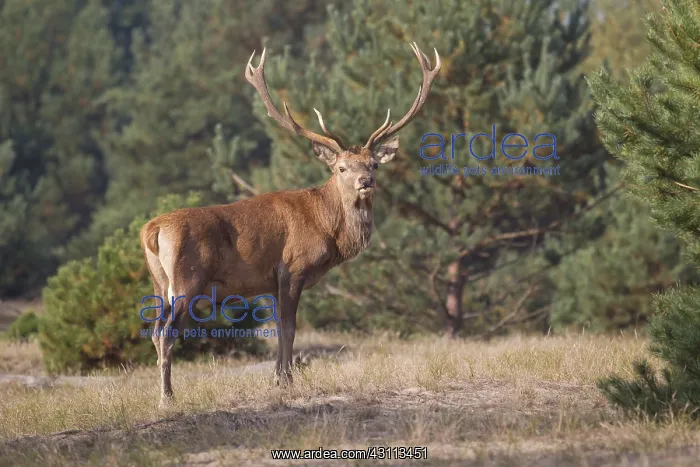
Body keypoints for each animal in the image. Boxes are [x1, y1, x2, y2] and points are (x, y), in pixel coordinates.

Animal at [140, 42, 441, 407]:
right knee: (166, 332)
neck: (327, 227)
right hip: (187, 280)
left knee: (154, 329)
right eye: (341, 168)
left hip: (159, 282)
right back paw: (167, 397)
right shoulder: (292, 268)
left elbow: (282, 329)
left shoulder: (271, 281)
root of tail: (152, 230)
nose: (366, 182)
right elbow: (289, 328)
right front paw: (286, 382)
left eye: (373, 164)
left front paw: (278, 378)